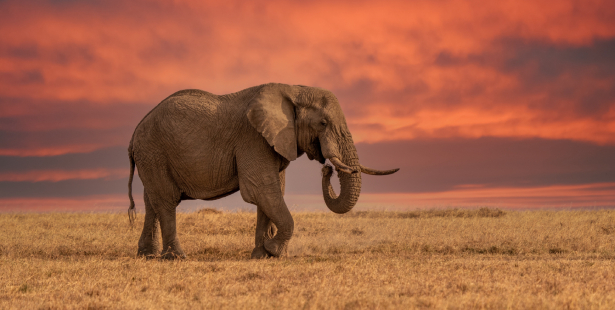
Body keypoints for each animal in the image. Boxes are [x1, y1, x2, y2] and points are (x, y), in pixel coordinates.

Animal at [129, 82, 400, 260]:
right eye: (323, 123)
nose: (326, 169)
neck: (293, 90)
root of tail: (133, 134)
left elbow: (272, 192)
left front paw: (262, 254)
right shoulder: (252, 138)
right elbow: (261, 189)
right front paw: (274, 251)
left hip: (151, 156)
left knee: (152, 200)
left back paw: (147, 255)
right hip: (154, 151)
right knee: (166, 201)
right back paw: (176, 257)